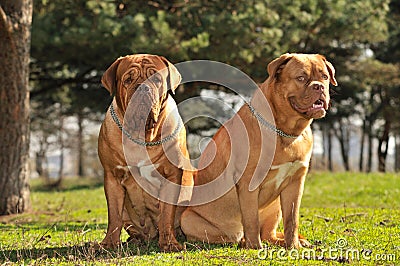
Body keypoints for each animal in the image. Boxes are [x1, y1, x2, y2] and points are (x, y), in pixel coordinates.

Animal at [98, 53, 192, 251]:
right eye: (128, 80)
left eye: (156, 79)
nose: (142, 88)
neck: (142, 135)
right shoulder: (112, 176)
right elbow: (114, 215)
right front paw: (109, 243)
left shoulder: (171, 175)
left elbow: (166, 215)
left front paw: (169, 243)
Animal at [181, 53, 338, 249]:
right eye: (301, 78)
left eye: (324, 76)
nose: (319, 87)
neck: (285, 131)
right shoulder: (249, 183)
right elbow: (251, 220)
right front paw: (255, 247)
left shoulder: (295, 183)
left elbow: (292, 220)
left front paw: (294, 246)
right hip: (188, 220)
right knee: (231, 236)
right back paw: (242, 241)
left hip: (275, 206)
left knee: (269, 234)